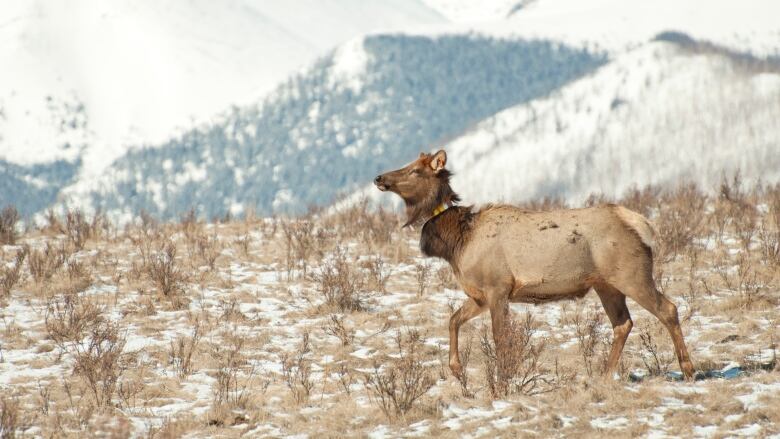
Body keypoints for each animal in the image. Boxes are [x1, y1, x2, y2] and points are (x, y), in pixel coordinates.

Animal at [374, 150, 696, 380]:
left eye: (415, 170)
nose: (378, 177)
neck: (458, 242)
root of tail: (641, 224)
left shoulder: (498, 287)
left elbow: (500, 337)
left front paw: (503, 378)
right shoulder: (479, 295)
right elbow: (453, 320)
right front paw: (456, 368)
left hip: (631, 274)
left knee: (668, 309)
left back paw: (688, 369)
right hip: (606, 285)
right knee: (622, 323)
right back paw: (603, 377)